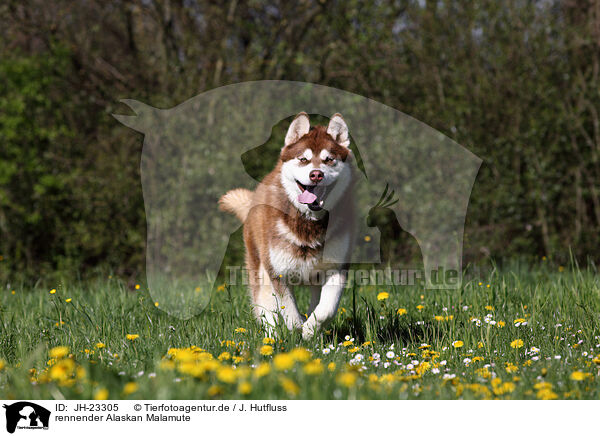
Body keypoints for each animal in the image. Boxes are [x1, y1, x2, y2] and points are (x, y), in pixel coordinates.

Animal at [219, 111, 354, 338]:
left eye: (329, 159)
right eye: (303, 159)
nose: (316, 174)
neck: (307, 222)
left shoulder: (336, 269)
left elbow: (326, 308)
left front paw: (309, 330)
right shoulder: (278, 273)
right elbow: (288, 310)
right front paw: (296, 329)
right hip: (261, 272)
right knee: (266, 310)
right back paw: (273, 338)